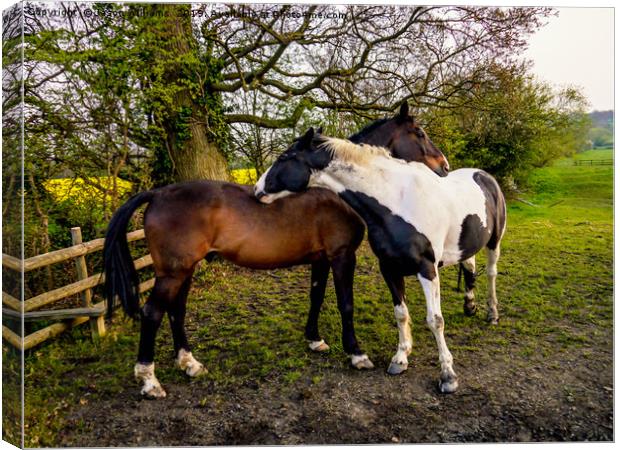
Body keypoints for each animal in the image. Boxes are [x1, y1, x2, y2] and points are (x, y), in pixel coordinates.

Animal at [104, 102, 448, 398]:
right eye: (419, 133)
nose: (443, 166)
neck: (335, 193)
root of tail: (157, 194)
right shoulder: (341, 256)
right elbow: (345, 304)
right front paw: (356, 353)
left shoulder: (321, 259)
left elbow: (316, 296)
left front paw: (314, 340)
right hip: (173, 273)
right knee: (152, 313)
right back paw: (149, 381)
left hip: (184, 270)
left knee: (176, 311)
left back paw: (190, 364)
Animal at [254, 128, 506, 392]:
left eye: (284, 157)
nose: (257, 189)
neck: (397, 202)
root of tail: (484, 176)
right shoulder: (389, 268)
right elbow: (401, 314)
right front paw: (400, 358)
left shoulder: (427, 268)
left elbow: (435, 320)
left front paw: (447, 375)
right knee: (469, 266)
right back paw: (470, 306)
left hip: (494, 242)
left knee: (491, 273)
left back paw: (492, 314)